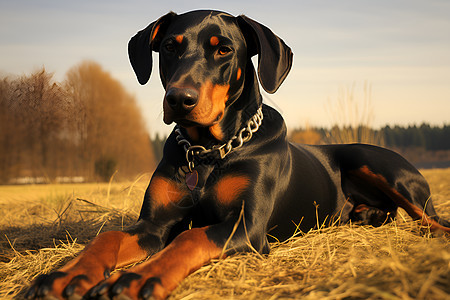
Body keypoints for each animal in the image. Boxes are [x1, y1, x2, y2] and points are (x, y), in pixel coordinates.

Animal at [27, 9, 450, 300]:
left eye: (224, 50)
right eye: (169, 47)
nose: (179, 99)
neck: (206, 152)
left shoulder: (247, 226)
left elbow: (189, 238)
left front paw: (138, 277)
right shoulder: (154, 224)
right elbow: (109, 237)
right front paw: (69, 275)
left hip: (380, 166)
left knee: (431, 218)